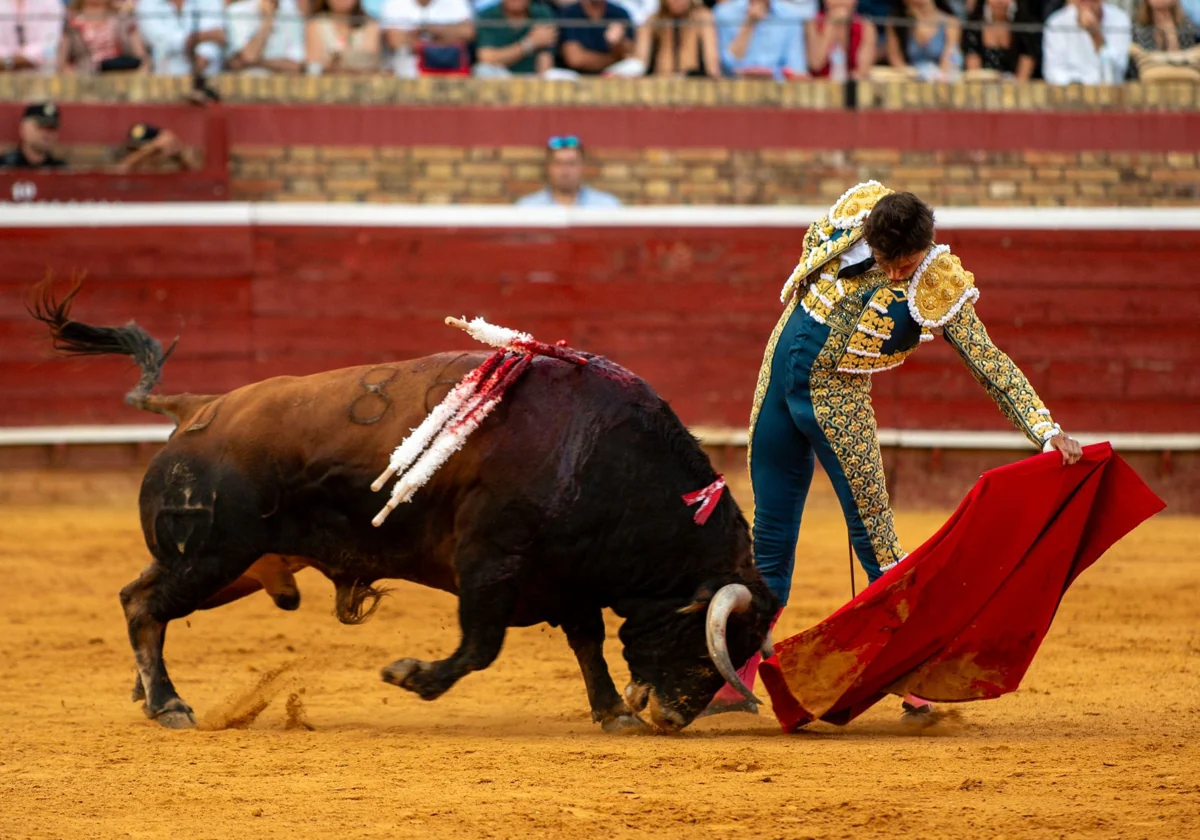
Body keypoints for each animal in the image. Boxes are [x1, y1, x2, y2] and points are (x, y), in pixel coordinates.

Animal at [30, 280, 777, 729]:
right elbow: (480, 646)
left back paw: (145, 691)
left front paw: (612, 711)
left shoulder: (567, 576)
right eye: (704, 641)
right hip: (211, 555)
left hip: (231, 566)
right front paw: (410, 676)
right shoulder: (490, 561)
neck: (605, 457)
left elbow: (587, 643)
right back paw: (168, 703)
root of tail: (194, 408)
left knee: (139, 597)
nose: (670, 718)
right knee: (143, 604)